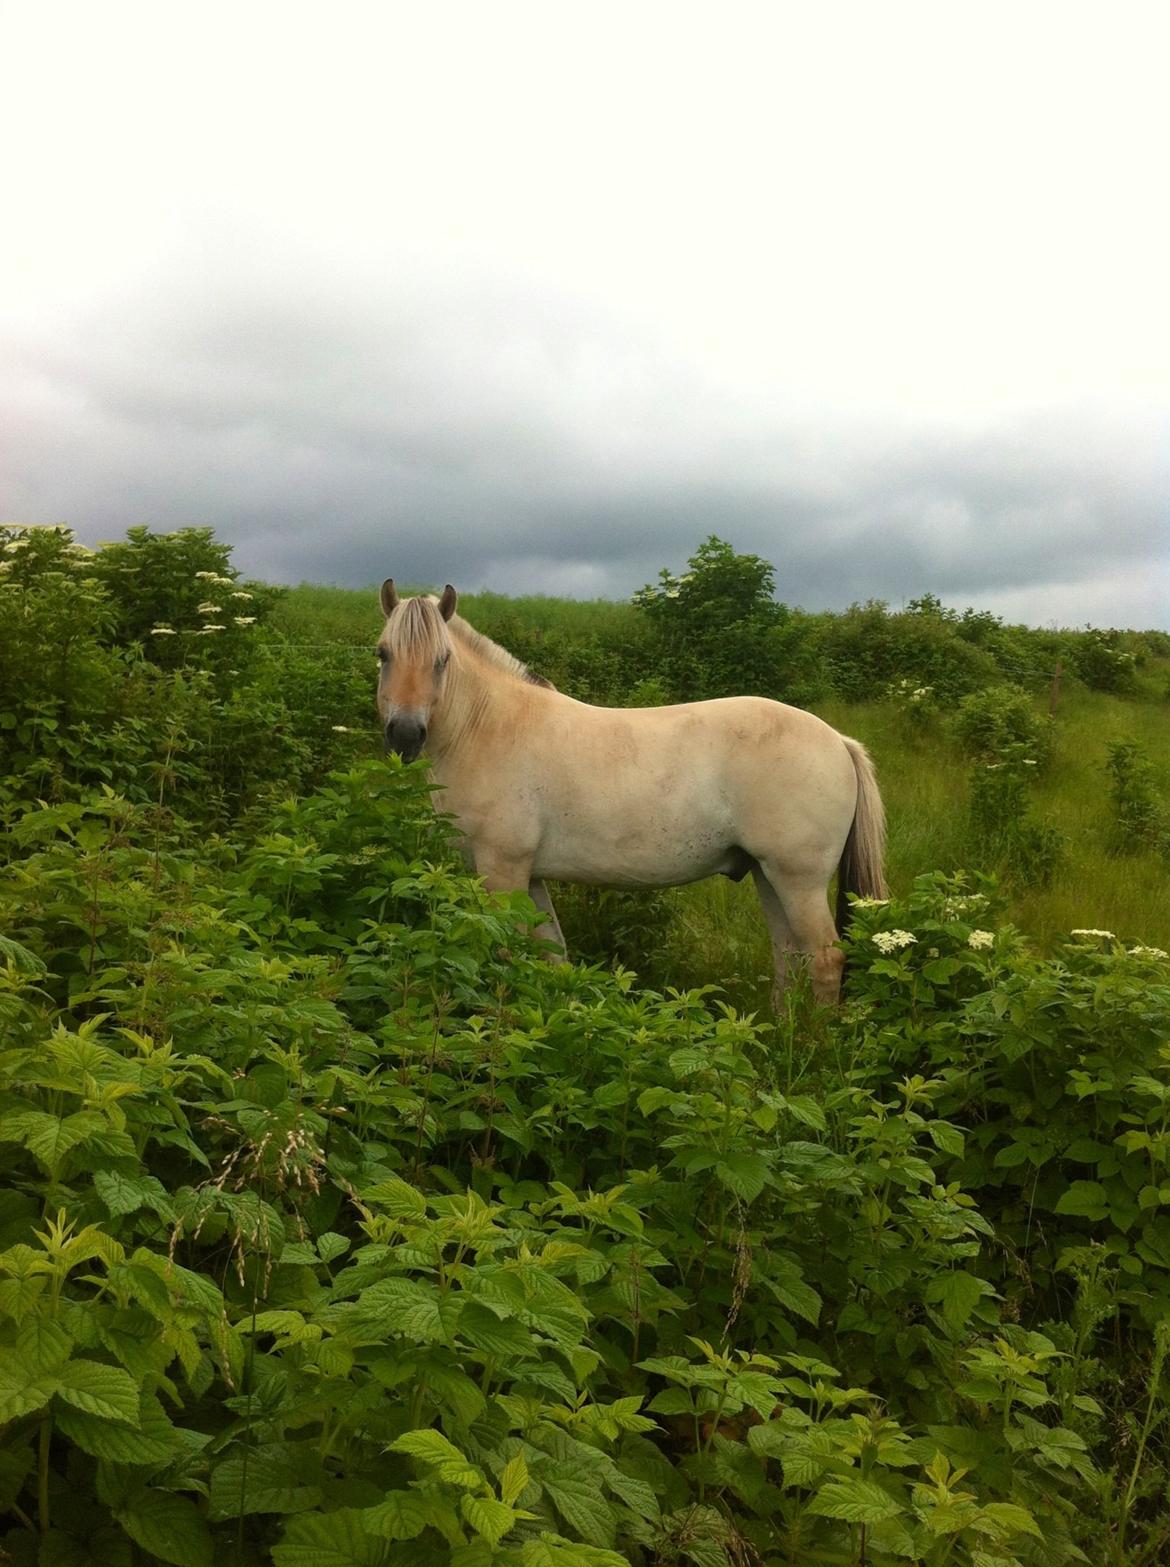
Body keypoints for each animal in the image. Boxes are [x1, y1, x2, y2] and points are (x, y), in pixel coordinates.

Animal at [377, 579, 889, 1002]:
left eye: (442, 660)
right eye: (383, 654)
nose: (405, 734)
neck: (488, 727)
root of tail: (838, 742)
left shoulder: (501, 871)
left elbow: (507, 954)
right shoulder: (530, 876)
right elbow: (552, 956)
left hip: (798, 880)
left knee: (824, 960)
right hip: (768, 875)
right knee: (790, 958)